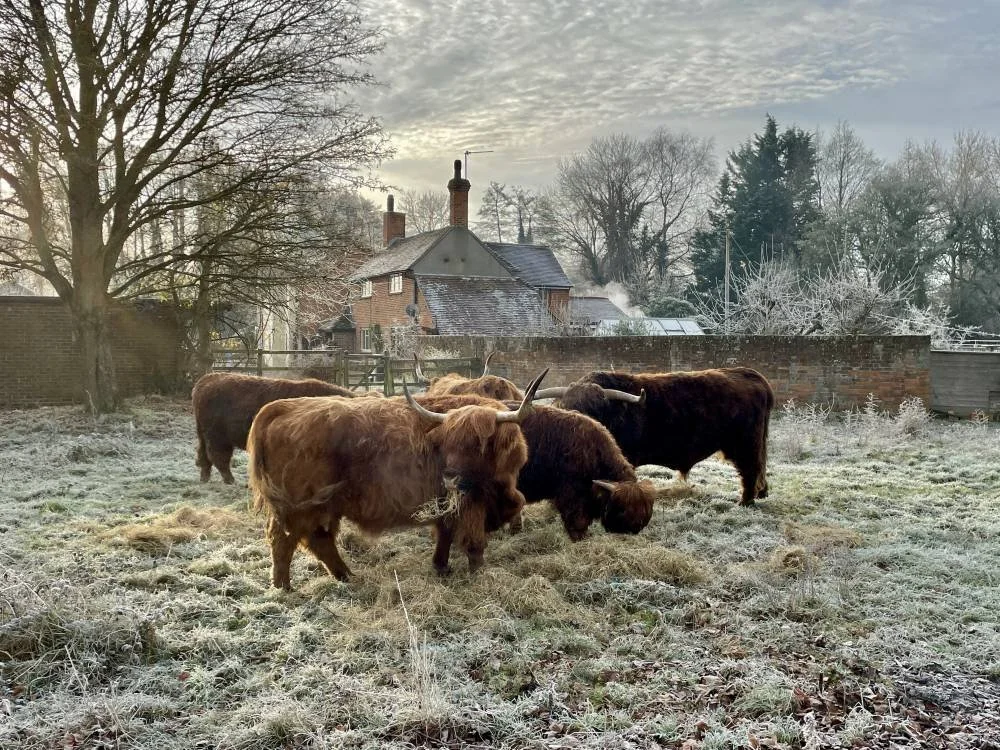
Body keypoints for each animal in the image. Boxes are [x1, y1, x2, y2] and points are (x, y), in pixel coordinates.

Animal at [192, 371, 369, 484]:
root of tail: (206, 380)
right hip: (218, 437)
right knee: (218, 457)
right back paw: (230, 480)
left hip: (204, 434)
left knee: (203, 455)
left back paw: (205, 478)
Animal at [246, 371, 548, 589]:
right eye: (449, 442)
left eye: (478, 443)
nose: (449, 476)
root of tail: (280, 408)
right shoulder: (472, 502)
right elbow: (474, 541)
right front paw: (478, 574)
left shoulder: (448, 504)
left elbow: (445, 534)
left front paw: (441, 566)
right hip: (300, 507)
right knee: (284, 539)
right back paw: (284, 586)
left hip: (323, 507)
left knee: (320, 540)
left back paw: (345, 576)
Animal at [418, 393, 655, 541]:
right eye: (622, 509)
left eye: (646, 509)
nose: (637, 527)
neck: (592, 451)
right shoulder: (572, 496)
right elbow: (577, 524)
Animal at [544, 368, 774, 506]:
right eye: (567, 407)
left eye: (594, 409)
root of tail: (750, 374)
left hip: (745, 444)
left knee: (750, 470)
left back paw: (745, 502)